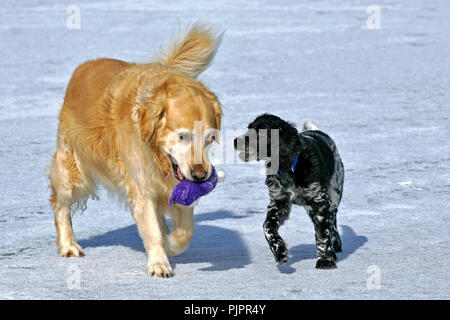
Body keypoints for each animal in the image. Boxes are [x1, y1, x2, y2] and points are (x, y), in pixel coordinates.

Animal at [236, 114, 344, 268]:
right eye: (249, 128)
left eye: (261, 133)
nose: (235, 141)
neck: (288, 166)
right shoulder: (279, 201)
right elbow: (267, 226)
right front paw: (279, 251)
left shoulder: (319, 201)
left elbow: (322, 233)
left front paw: (325, 260)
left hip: (334, 193)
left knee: (332, 219)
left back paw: (335, 245)